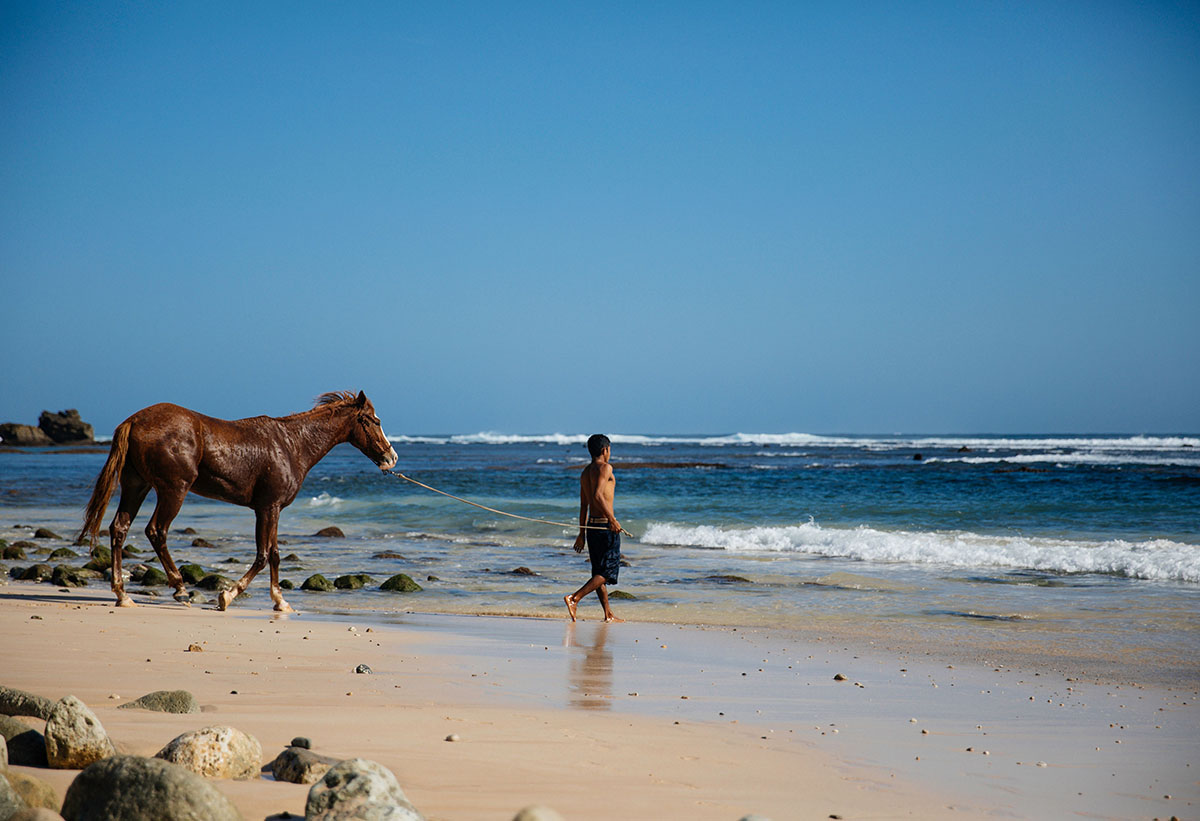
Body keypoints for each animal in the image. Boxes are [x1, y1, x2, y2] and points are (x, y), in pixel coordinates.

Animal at [78, 391, 398, 612]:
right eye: (375, 421)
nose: (391, 457)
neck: (292, 445)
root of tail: (134, 421)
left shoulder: (269, 509)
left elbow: (273, 553)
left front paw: (278, 601)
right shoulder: (269, 508)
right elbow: (264, 555)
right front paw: (230, 596)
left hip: (137, 485)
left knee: (119, 528)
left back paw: (123, 594)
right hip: (173, 490)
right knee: (156, 531)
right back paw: (180, 588)